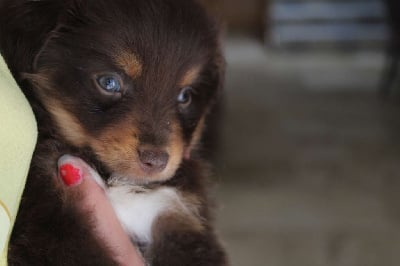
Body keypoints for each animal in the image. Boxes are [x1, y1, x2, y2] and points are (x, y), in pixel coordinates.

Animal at [0, 0, 227, 264]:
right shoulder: (49, 225)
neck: (115, 180)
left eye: (185, 96)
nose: (156, 160)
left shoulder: (177, 214)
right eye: (109, 82)